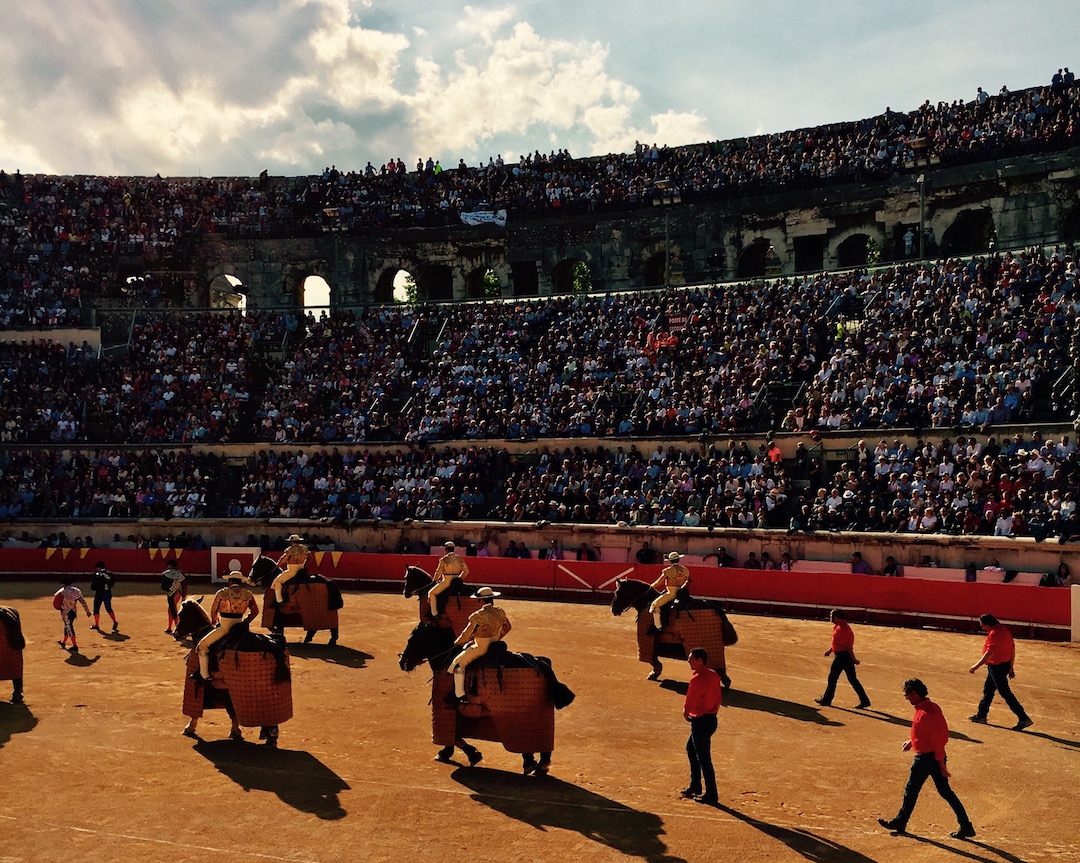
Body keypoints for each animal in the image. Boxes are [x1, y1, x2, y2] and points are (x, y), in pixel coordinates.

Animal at [173, 596, 293, 747]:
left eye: (180, 615)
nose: (176, 634)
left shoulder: (215, 686)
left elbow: (228, 709)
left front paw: (189, 727)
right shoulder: (223, 687)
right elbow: (231, 708)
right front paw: (236, 730)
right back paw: (270, 736)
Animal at [395, 622, 565, 777]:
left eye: (412, 640)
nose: (402, 662)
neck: (447, 658)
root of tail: (539, 661)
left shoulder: (446, 708)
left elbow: (455, 737)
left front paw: (462, 753)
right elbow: (457, 735)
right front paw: (461, 753)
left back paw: (531, 763)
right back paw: (539, 765)